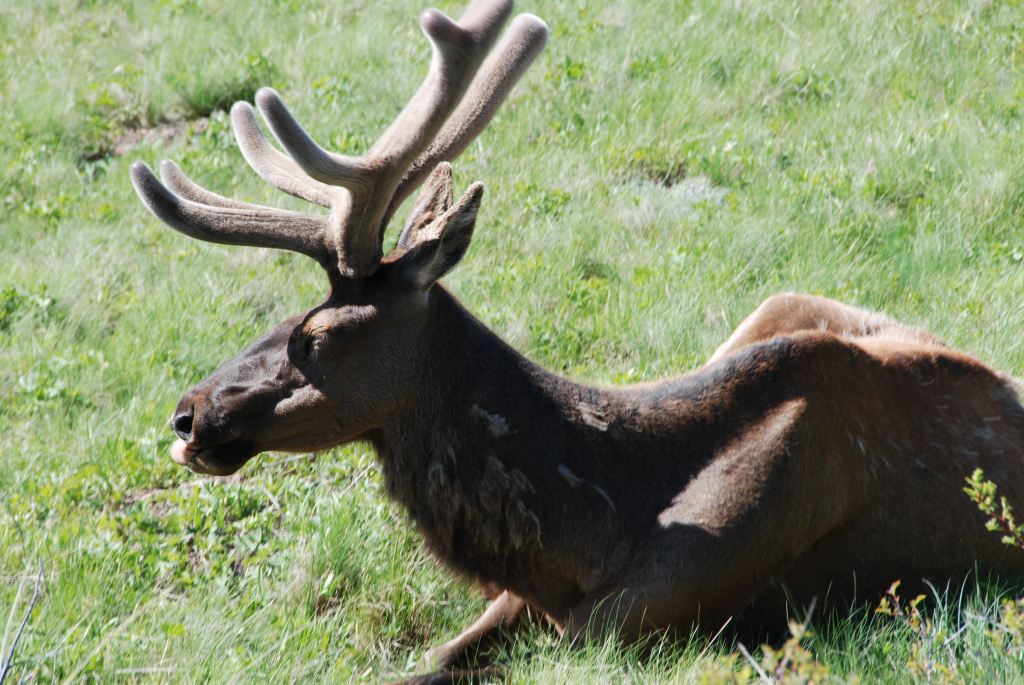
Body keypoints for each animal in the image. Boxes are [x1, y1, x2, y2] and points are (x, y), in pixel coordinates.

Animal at [130, 0, 1024, 675]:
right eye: (284, 317)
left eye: (314, 337)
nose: (188, 412)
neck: (590, 532)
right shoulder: (520, 602)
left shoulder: (640, 621)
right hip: (779, 302)